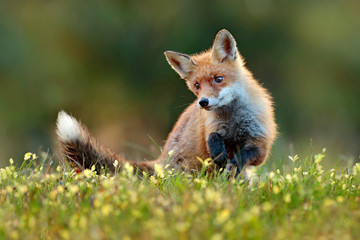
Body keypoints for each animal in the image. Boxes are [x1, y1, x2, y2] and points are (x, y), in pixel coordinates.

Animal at [56, 29, 278, 177]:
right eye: (197, 85)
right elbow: (212, 138)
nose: (203, 103)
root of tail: (161, 161)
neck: (233, 119)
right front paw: (220, 153)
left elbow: (249, 155)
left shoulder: (260, 142)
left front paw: (234, 160)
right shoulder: (211, 130)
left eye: (218, 79)